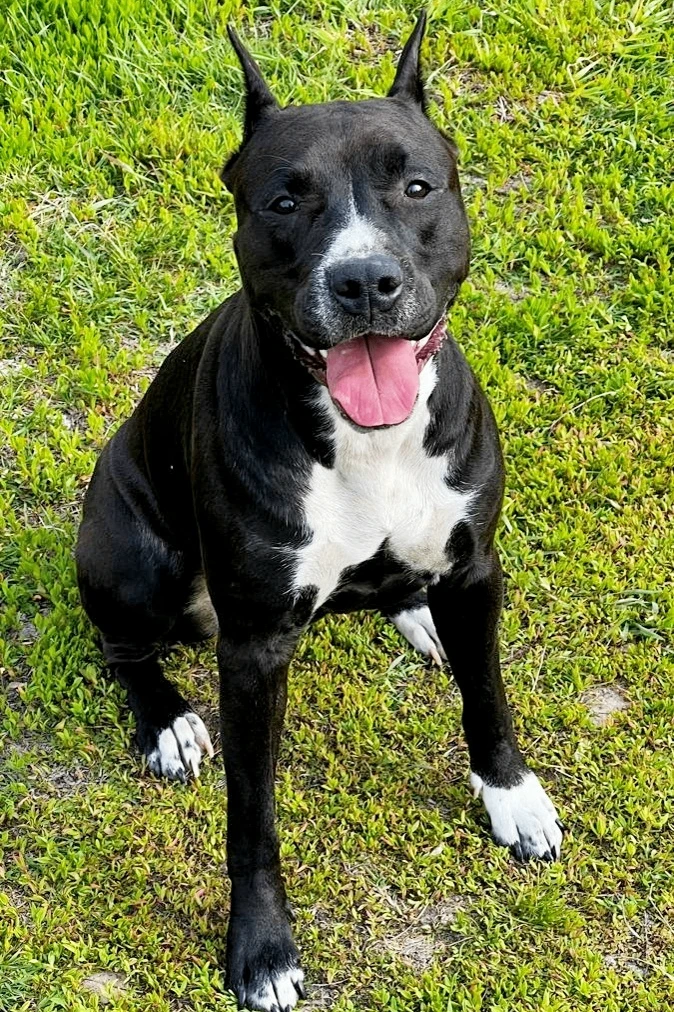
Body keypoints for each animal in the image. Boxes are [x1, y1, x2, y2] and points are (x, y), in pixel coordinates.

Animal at [75, 15, 563, 1011]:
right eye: (284, 201)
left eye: (416, 186)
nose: (365, 281)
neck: (365, 438)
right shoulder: (255, 648)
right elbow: (252, 818)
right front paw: (261, 948)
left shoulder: (477, 567)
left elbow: (489, 696)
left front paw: (512, 796)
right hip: (131, 557)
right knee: (123, 647)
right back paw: (167, 723)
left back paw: (416, 615)